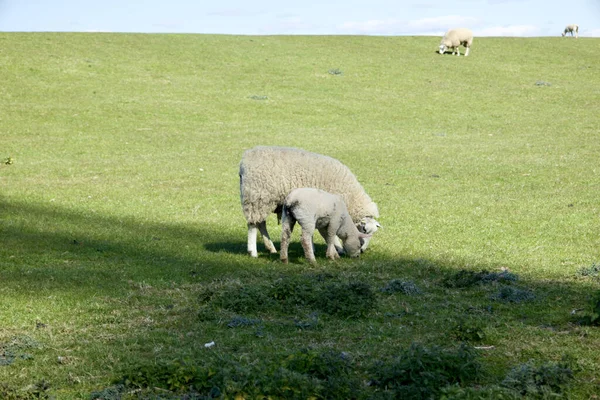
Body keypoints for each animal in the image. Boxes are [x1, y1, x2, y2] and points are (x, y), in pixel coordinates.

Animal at [239, 145, 380, 258]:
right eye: (364, 229)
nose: (362, 250)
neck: (349, 196)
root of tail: (246, 158)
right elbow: (330, 233)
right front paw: (338, 248)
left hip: (263, 200)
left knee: (261, 223)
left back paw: (271, 248)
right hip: (256, 197)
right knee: (252, 225)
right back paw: (253, 252)